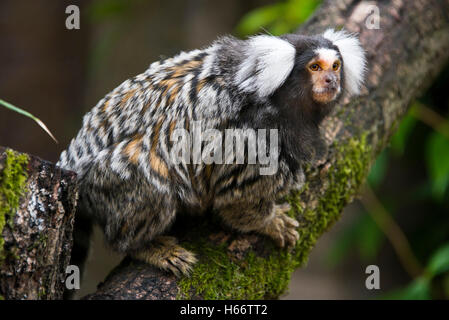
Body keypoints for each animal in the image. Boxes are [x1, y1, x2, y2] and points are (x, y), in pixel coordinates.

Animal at [57, 29, 366, 278]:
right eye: (315, 67)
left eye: (336, 66)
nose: (331, 80)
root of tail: (73, 158)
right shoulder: (252, 136)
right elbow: (236, 197)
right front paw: (268, 222)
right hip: (110, 178)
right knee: (150, 173)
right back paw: (145, 247)